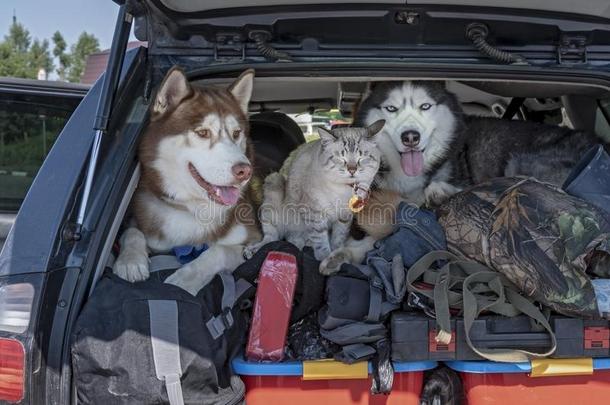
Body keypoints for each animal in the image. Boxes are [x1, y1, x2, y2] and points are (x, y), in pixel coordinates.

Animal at [113, 66, 260, 294]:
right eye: (203, 132)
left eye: (237, 133)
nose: (245, 171)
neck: (194, 208)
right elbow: (132, 231)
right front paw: (130, 261)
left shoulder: (251, 237)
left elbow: (218, 250)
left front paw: (184, 280)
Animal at [245, 120, 382, 266]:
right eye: (341, 158)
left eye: (361, 158)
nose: (352, 170)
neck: (344, 190)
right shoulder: (314, 213)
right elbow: (320, 240)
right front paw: (324, 257)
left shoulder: (345, 216)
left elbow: (339, 237)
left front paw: (335, 253)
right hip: (274, 183)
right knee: (271, 238)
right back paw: (253, 250)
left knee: (295, 240)